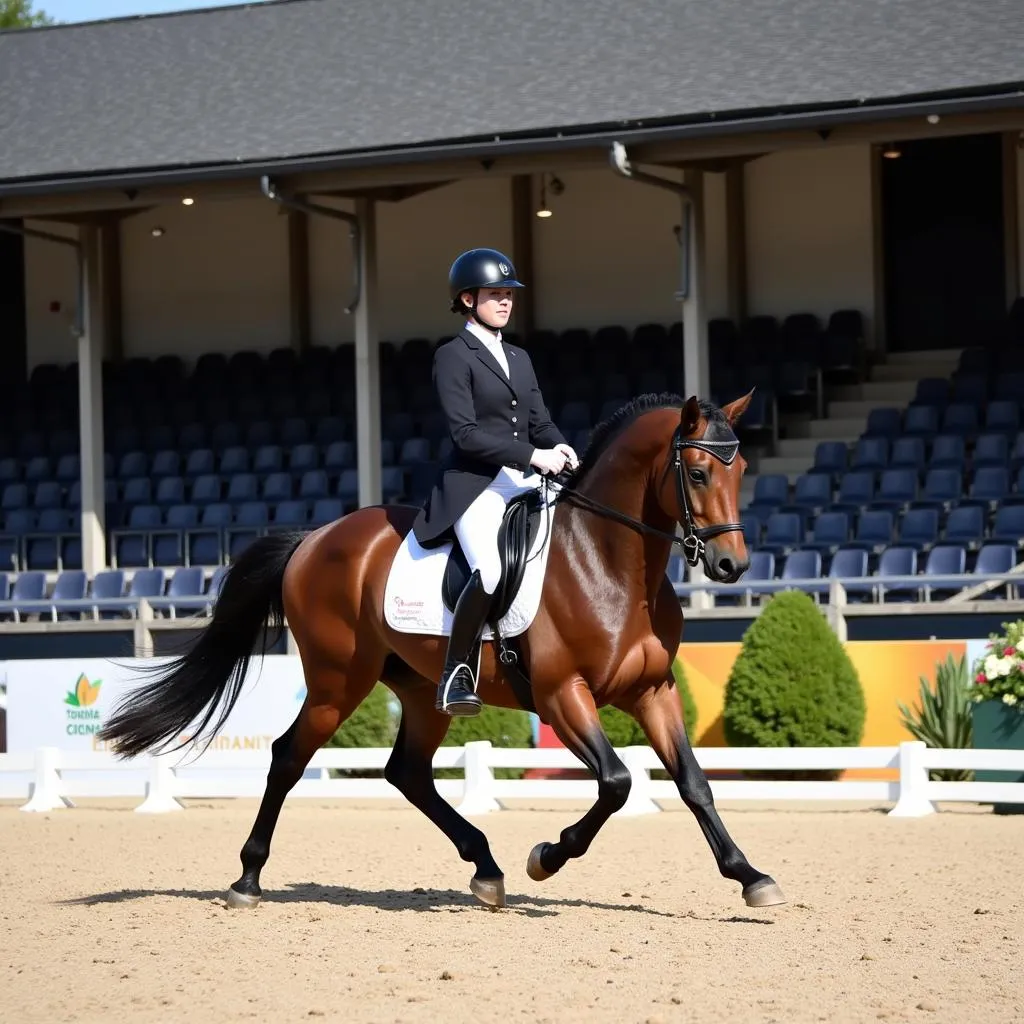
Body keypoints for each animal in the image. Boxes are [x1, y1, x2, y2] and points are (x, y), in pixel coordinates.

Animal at [97, 389, 782, 913]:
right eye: (698, 473)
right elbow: (615, 781)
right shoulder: (562, 695)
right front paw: (547, 857)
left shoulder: (653, 690)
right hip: (338, 681)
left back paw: (485, 868)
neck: (609, 564)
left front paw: (750, 876)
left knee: (406, 771)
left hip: (424, 689)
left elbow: (693, 783)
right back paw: (247, 878)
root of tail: (314, 536)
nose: (731, 566)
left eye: (742, 471)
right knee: (288, 757)